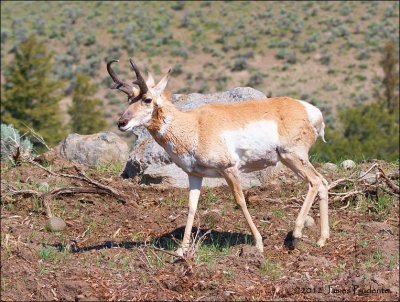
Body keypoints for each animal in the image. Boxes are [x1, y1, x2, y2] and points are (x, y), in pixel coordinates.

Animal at [106, 58, 328, 255]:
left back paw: (296, 233)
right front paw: (181, 249)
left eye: (147, 99)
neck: (194, 125)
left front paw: (258, 243)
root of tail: (310, 110)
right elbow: (191, 206)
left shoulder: (228, 169)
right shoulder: (195, 175)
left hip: (292, 156)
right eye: (129, 99)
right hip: (292, 159)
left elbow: (240, 201)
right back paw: (321, 239)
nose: (121, 123)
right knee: (323, 182)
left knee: (315, 181)